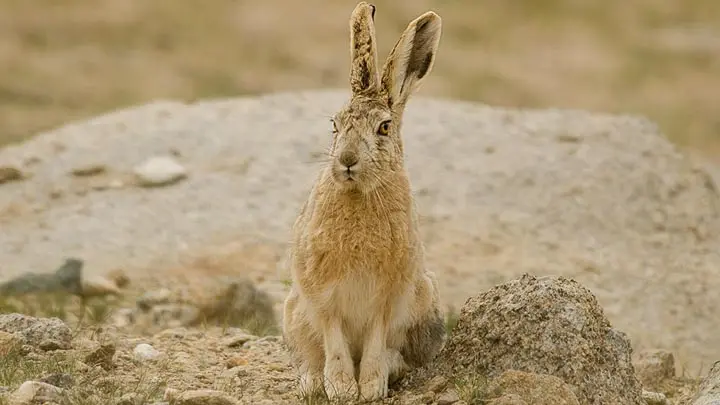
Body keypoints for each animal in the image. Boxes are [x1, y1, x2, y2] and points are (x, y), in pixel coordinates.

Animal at [282, 1, 445, 401]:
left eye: (384, 127)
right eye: (335, 124)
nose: (347, 160)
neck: (360, 193)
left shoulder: (388, 299)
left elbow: (374, 338)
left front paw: (369, 387)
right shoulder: (322, 296)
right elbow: (334, 339)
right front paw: (342, 389)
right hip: (293, 312)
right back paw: (313, 383)